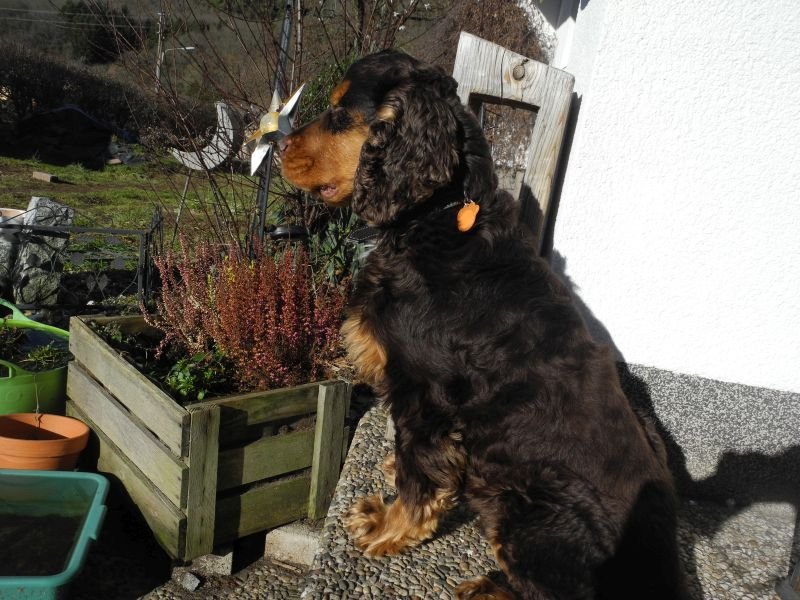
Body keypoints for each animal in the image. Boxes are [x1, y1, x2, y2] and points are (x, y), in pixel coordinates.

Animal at [280, 50, 687, 600]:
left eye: (342, 115)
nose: (276, 144)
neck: (437, 217)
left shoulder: (425, 392)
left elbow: (418, 477)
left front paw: (387, 527)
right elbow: (416, 459)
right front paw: (395, 470)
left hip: (535, 511)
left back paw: (486, 589)